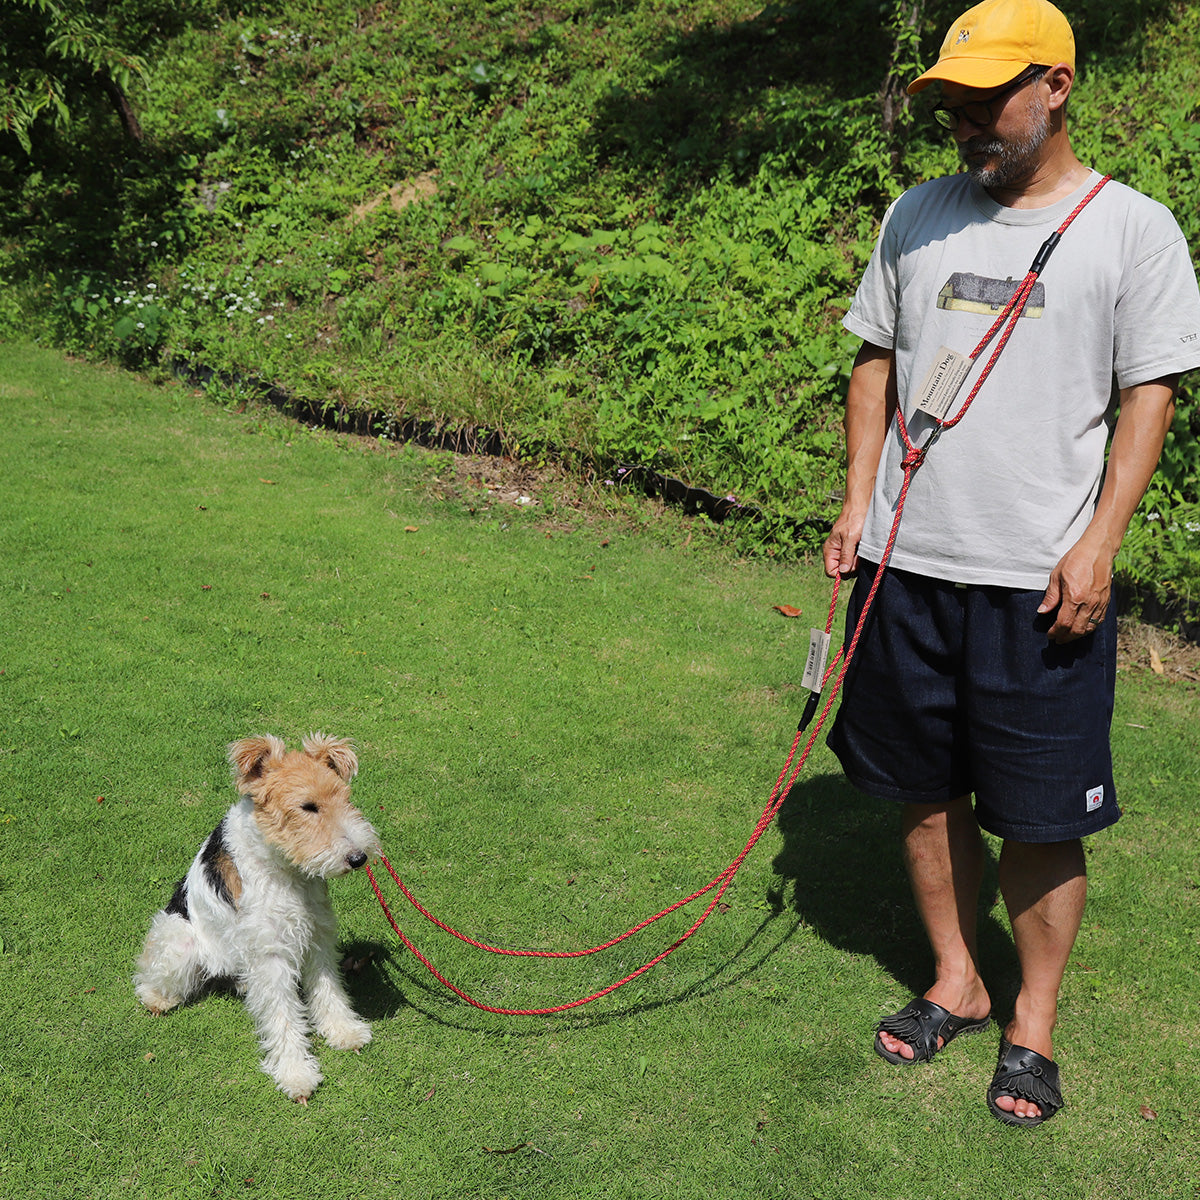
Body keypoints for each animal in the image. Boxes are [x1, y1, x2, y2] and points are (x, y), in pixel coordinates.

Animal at [134, 733, 380, 1103]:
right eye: (308, 807)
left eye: (345, 797)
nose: (358, 857)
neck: (286, 868)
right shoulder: (271, 952)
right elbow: (284, 1017)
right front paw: (296, 1074)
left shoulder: (318, 935)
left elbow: (329, 991)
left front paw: (344, 1031)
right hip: (179, 938)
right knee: (149, 976)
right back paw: (158, 999)